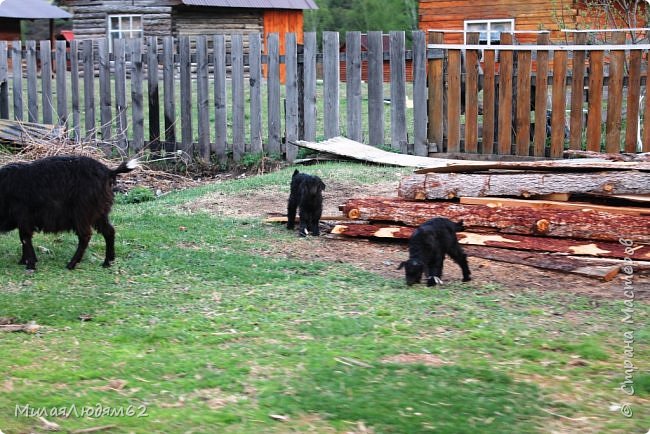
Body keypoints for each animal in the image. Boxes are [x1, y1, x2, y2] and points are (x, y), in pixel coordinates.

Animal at [0, 156, 139, 270]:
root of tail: (109, 171)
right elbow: (24, 238)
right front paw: (24, 261)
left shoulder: (24, 217)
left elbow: (25, 238)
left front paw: (30, 265)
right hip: (99, 213)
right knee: (109, 231)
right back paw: (107, 262)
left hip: (82, 213)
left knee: (85, 236)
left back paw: (71, 264)